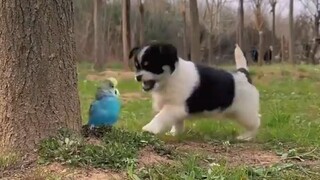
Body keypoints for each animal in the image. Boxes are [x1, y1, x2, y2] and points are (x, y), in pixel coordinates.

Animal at [128, 41, 260, 141]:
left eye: (150, 65)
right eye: (137, 66)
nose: (138, 77)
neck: (171, 77)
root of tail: (243, 74)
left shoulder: (175, 107)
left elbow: (161, 116)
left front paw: (150, 128)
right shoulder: (176, 110)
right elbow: (177, 122)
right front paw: (175, 133)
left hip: (245, 113)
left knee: (256, 123)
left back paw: (246, 137)